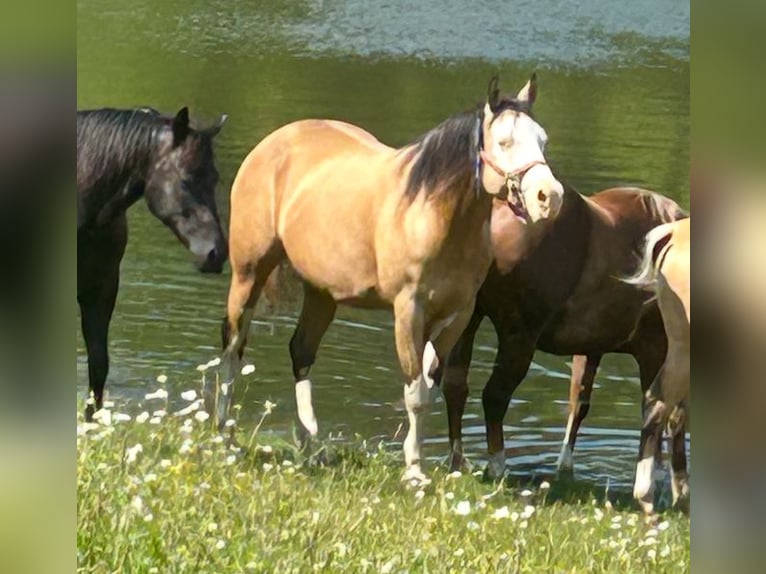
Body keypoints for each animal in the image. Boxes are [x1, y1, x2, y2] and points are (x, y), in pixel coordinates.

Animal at [213, 75, 565, 482]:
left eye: (542, 140)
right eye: (504, 142)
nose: (549, 197)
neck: (435, 213)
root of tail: (271, 144)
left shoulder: (456, 317)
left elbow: (432, 387)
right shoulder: (408, 310)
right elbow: (416, 394)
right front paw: (413, 471)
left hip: (321, 293)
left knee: (300, 352)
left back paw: (310, 445)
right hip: (248, 274)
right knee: (233, 346)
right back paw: (225, 435)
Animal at [440, 186, 688, 479]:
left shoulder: (591, 348)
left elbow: (578, 405)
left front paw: (564, 467)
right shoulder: (655, 349)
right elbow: (659, 413)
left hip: (467, 321)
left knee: (455, 386)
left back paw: (457, 462)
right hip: (518, 339)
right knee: (494, 397)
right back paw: (497, 467)